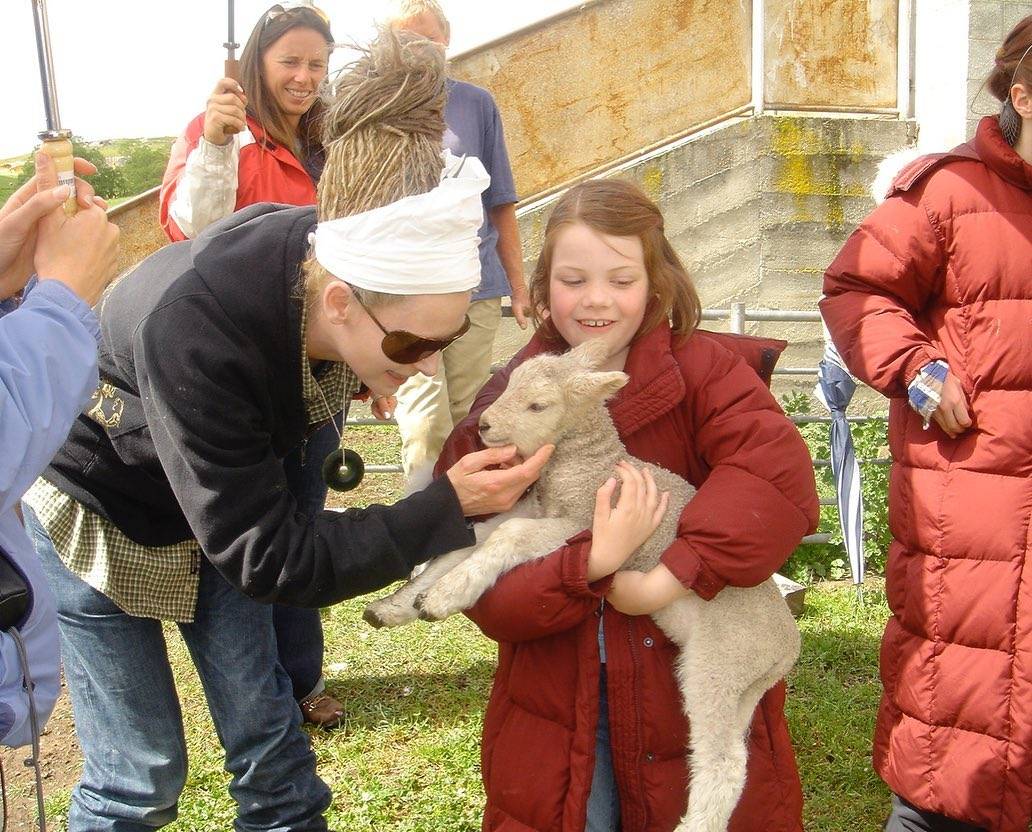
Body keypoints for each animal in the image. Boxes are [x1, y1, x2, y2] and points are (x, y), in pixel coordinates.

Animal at [367, 340, 800, 832]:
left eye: (538, 405)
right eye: (509, 384)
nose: (484, 425)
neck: (587, 466)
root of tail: (788, 648)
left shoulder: (580, 525)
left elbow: (507, 536)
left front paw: (442, 596)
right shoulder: (534, 508)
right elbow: (471, 540)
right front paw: (399, 604)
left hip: (720, 665)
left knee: (724, 763)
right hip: (744, 685)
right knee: (736, 756)